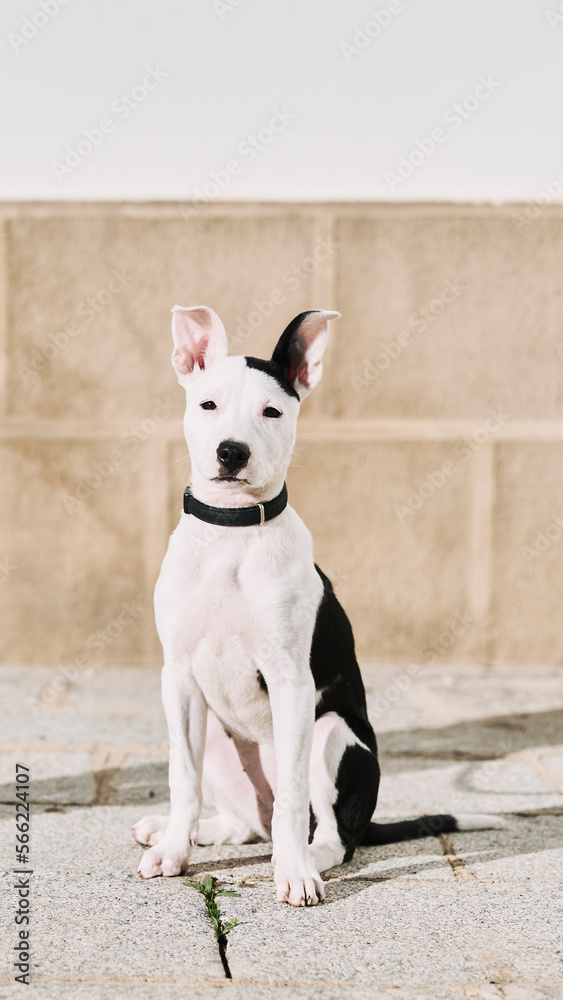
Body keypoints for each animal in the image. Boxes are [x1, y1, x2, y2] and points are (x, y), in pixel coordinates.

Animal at [133, 304, 502, 908]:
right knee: (245, 822)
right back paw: (186, 831)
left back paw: (310, 858)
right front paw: (171, 851)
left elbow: (289, 795)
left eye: (272, 411)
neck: (233, 532)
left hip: (332, 735)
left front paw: (293, 874)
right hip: (218, 738)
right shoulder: (180, 678)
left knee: (327, 831)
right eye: (208, 404)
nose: (231, 451)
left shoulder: (291, 682)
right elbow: (182, 777)